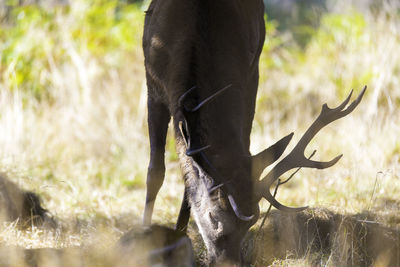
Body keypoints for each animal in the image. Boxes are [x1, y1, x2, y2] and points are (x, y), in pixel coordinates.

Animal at [141, 0, 366, 264]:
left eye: (250, 224)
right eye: (212, 218)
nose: (228, 262)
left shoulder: (249, 77)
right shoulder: (153, 85)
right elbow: (155, 172)